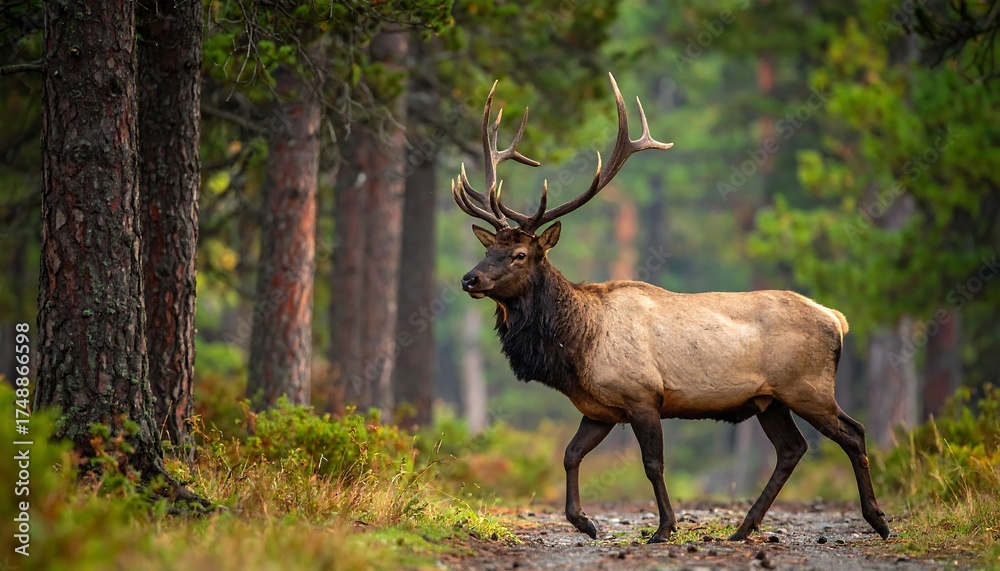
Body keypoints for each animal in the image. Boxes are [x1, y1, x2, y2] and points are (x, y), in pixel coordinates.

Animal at [451, 73, 891, 544]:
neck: (577, 347)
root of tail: (837, 319)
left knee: (853, 433)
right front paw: (584, 522)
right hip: (770, 400)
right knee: (793, 449)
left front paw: (664, 528)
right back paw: (743, 528)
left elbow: (652, 464)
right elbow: (570, 454)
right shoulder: (599, 409)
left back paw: (877, 520)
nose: (469, 279)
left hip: (808, 387)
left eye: (519, 254)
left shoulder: (643, 395)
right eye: (489, 248)